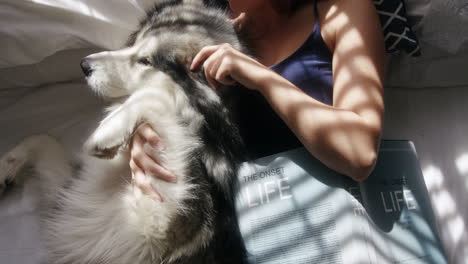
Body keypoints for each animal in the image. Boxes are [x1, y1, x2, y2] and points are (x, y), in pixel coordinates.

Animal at [0, 1, 249, 262]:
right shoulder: (70, 199)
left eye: (145, 61)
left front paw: (107, 130)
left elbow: (156, 94)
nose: (84, 65)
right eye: (133, 42)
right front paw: (5, 166)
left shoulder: (155, 226)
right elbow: (43, 139)